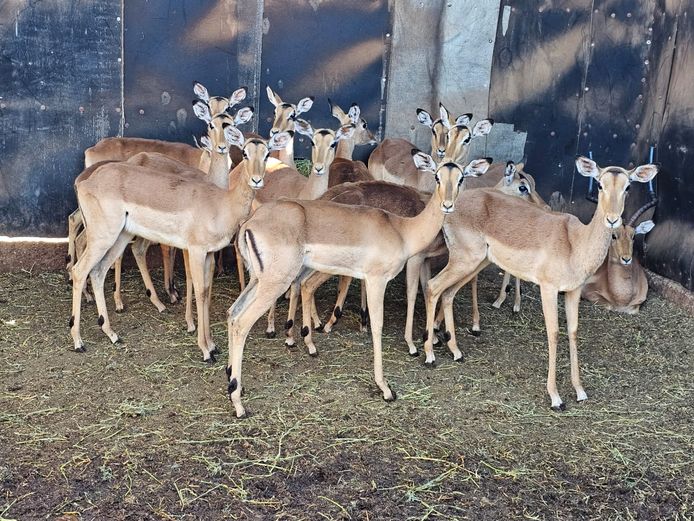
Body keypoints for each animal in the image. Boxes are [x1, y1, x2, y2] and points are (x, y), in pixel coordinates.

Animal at [69, 127, 293, 361]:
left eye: (267, 154)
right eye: (245, 153)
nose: (257, 180)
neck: (221, 203)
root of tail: (84, 182)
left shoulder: (209, 253)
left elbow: (206, 290)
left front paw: (212, 345)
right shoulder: (195, 251)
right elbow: (200, 291)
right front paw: (205, 350)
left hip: (119, 238)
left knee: (98, 272)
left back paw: (112, 333)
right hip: (103, 237)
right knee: (79, 270)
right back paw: (78, 341)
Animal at [224, 153, 491, 417]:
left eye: (461, 178)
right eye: (437, 176)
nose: (448, 205)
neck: (402, 230)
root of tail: (250, 223)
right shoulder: (376, 280)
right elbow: (378, 325)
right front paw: (386, 388)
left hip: (258, 280)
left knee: (232, 313)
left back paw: (233, 378)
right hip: (275, 282)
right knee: (242, 323)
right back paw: (238, 403)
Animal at [420, 156, 658, 410]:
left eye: (628, 186)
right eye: (600, 184)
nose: (612, 219)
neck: (576, 243)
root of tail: (450, 205)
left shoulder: (573, 291)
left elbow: (573, 331)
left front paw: (580, 391)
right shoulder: (548, 289)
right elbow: (553, 333)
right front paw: (556, 397)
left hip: (475, 263)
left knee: (448, 293)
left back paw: (456, 351)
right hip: (464, 261)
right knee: (433, 286)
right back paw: (430, 355)